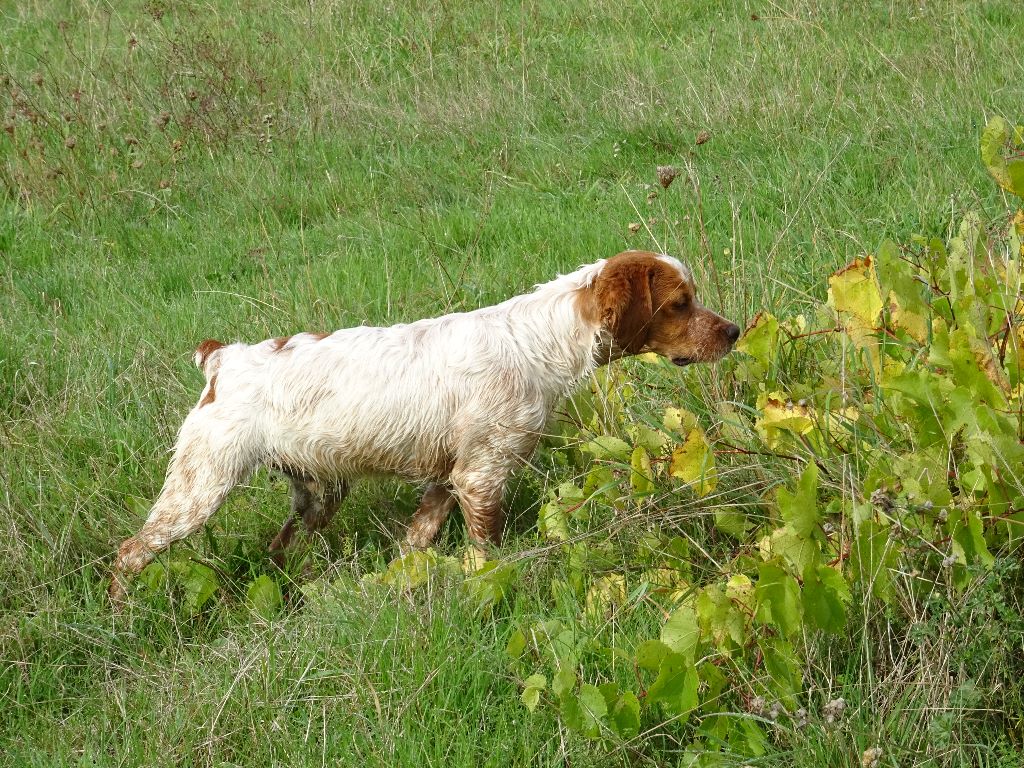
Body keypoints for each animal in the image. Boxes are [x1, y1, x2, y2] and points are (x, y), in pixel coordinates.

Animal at [110, 252, 737, 602]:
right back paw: (123, 611)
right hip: (198, 489)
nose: (733, 331)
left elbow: (414, 543)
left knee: (279, 548)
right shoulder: (483, 477)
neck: (539, 343)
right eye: (680, 303)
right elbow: (488, 554)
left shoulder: (449, 480)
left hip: (317, 495)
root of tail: (223, 359)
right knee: (130, 551)